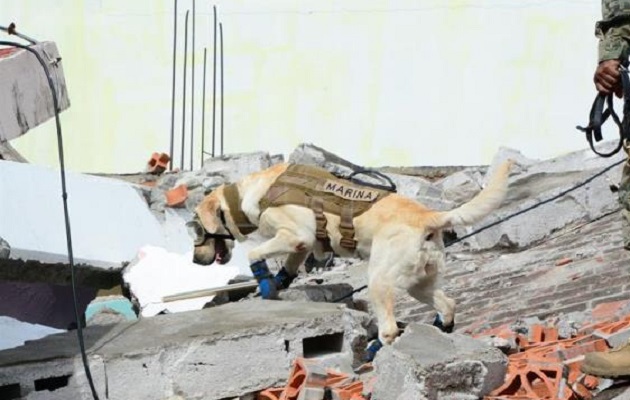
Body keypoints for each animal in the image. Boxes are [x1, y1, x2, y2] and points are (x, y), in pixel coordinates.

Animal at [193, 161, 512, 346]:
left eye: (195, 229)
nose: (195, 260)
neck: (253, 192)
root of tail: (428, 216)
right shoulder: (301, 245)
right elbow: (290, 266)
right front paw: (275, 284)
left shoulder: (296, 235)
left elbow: (255, 254)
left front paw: (263, 279)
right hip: (419, 282)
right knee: (448, 304)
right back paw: (441, 330)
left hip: (380, 280)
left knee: (389, 328)